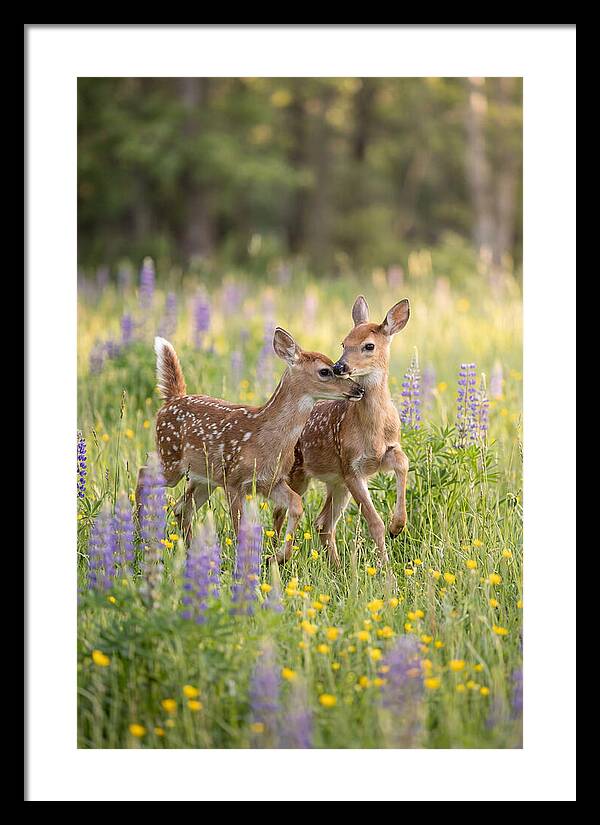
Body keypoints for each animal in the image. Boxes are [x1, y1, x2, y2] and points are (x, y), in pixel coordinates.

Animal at [136, 330, 364, 558]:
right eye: (325, 371)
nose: (359, 389)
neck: (264, 438)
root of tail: (172, 400)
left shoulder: (271, 481)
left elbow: (296, 505)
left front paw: (278, 557)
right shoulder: (234, 481)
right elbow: (240, 528)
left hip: (205, 478)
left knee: (182, 508)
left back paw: (190, 552)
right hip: (171, 458)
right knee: (144, 473)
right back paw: (139, 533)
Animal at [273, 296, 410, 568]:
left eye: (369, 346)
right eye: (344, 343)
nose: (339, 366)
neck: (374, 430)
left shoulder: (384, 453)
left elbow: (403, 463)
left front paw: (398, 526)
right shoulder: (351, 467)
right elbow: (374, 523)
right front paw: (386, 568)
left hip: (335, 483)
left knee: (323, 523)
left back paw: (336, 567)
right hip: (298, 474)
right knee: (280, 513)